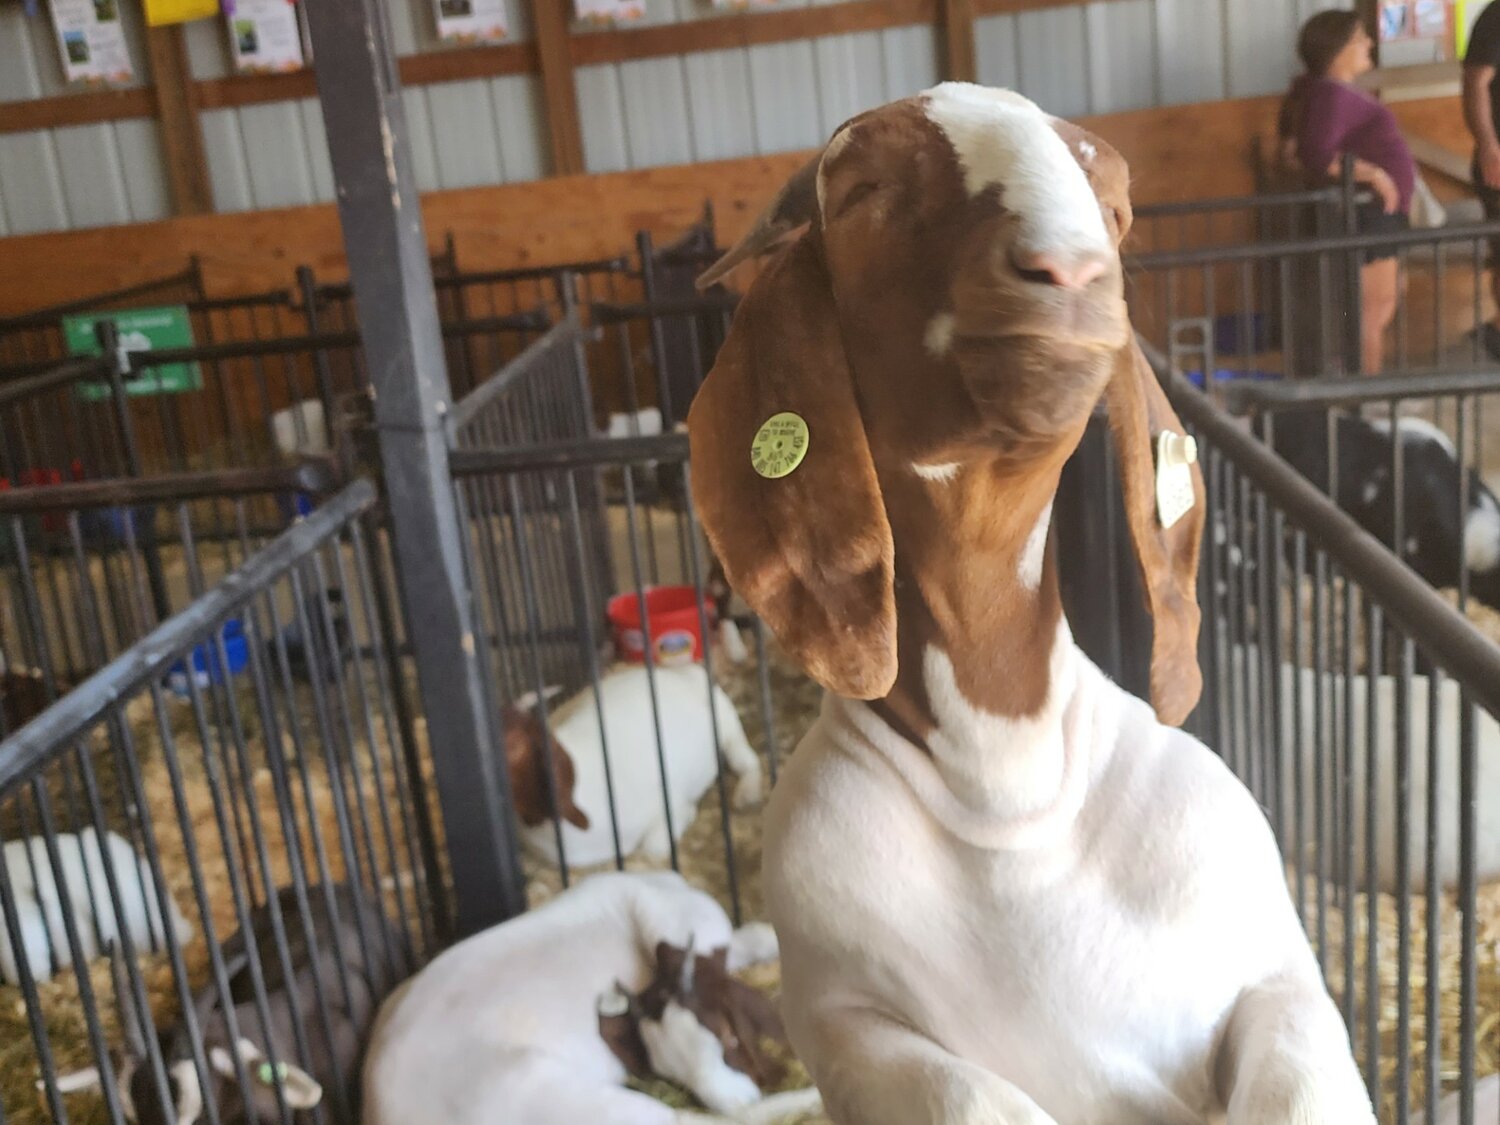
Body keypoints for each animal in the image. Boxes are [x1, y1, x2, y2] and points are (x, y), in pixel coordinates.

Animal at [687, 85, 1374, 1125]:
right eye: (859, 190)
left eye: (1116, 205)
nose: (1073, 267)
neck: (1003, 777)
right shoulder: (844, 1013)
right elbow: (971, 1097)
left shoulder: (1272, 967)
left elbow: (1297, 1072)